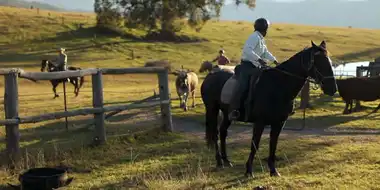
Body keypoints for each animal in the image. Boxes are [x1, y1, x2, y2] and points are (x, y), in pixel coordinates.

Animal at [200, 40, 336, 177]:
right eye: (320, 62)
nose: (333, 89)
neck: (278, 85)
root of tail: (210, 75)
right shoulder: (260, 122)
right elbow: (255, 144)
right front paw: (249, 171)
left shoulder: (279, 123)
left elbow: (273, 144)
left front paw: (273, 171)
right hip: (212, 109)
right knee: (215, 134)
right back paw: (219, 162)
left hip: (227, 114)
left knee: (223, 132)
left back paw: (226, 161)